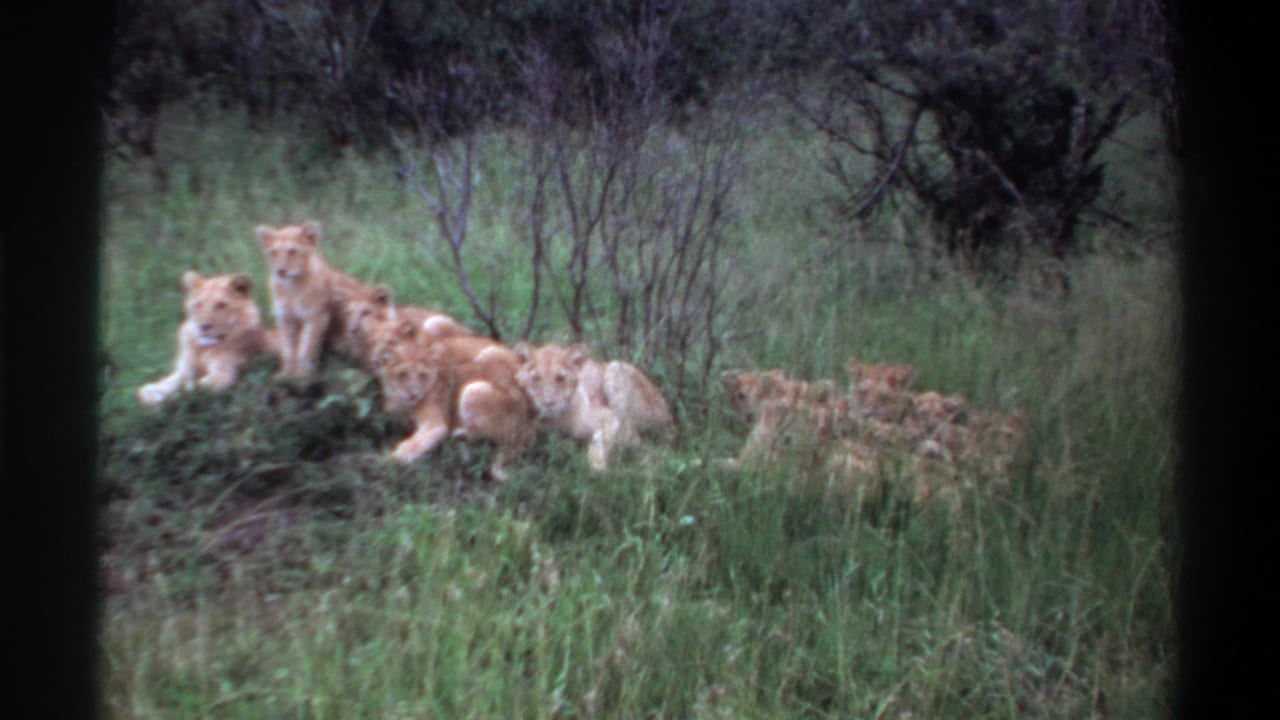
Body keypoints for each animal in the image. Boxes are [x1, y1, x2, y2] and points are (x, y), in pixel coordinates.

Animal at [137, 270, 279, 406]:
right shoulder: (184, 371)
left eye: (221, 305)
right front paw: (151, 392)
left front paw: (171, 398)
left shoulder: (224, 375)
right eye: (198, 304)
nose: (203, 326)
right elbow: (169, 383)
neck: (203, 348)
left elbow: (192, 388)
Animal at [257, 220, 371, 378]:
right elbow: (288, 348)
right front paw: (286, 374)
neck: (291, 287)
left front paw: (302, 375)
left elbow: (306, 348)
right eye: (273, 252)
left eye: (292, 251)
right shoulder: (285, 318)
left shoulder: (316, 317)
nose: (280, 271)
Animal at [373, 320, 534, 481]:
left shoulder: (436, 425)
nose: (413, 394)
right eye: (402, 374)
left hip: (474, 388)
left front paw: (387, 460)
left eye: (422, 375)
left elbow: (414, 444)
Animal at [513, 343, 677, 471]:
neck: (556, 420)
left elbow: (600, 439)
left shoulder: (609, 416)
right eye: (536, 379)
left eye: (561, 379)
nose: (548, 402)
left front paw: (597, 466)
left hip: (615, 369)